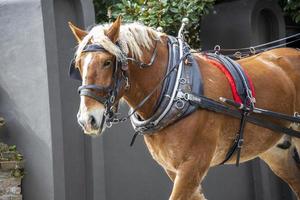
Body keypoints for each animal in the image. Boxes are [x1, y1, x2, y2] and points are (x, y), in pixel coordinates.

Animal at [67, 16, 300, 199]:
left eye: (107, 62)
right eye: (79, 65)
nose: (87, 120)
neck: (177, 89)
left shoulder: (193, 165)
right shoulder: (174, 170)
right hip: (276, 150)